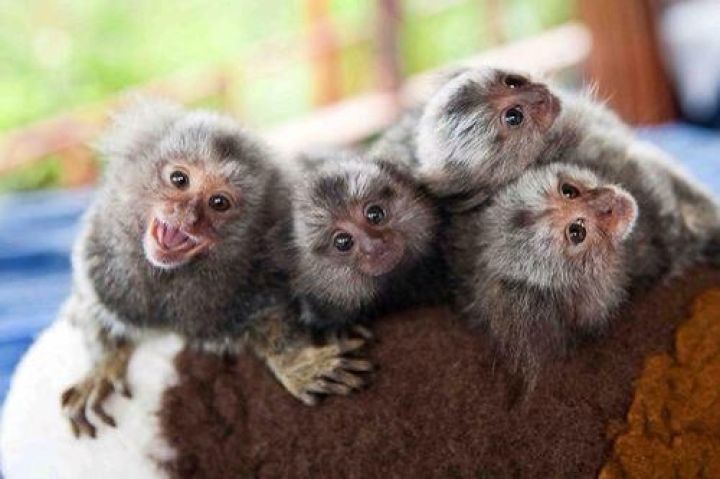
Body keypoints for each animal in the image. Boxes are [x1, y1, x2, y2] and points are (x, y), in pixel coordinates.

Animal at [59, 100, 371, 438]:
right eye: (179, 180)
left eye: (219, 202)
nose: (187, 215)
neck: (169, 274)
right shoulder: (100, 264)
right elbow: (91, 310)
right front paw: (101, 367)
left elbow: (274, 317)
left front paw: (296, 360)